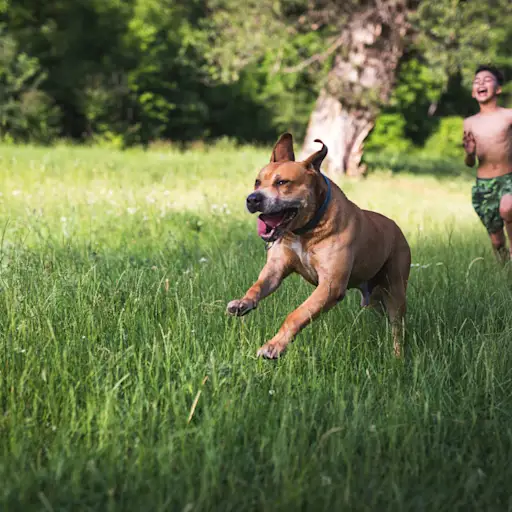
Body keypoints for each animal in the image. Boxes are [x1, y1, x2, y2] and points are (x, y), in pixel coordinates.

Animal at [228, 132, 412, 358]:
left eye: (282, 182)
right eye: (257, 182)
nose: (252, 199)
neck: (305, 231)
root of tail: (397, 229)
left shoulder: (330, 286)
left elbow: (297, 314)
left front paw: (274, 346)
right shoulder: (275, 269)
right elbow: (258, 285)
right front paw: (243, 302)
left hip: (395, 289)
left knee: (397, 326)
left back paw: (397, 357)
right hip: (376, 295)